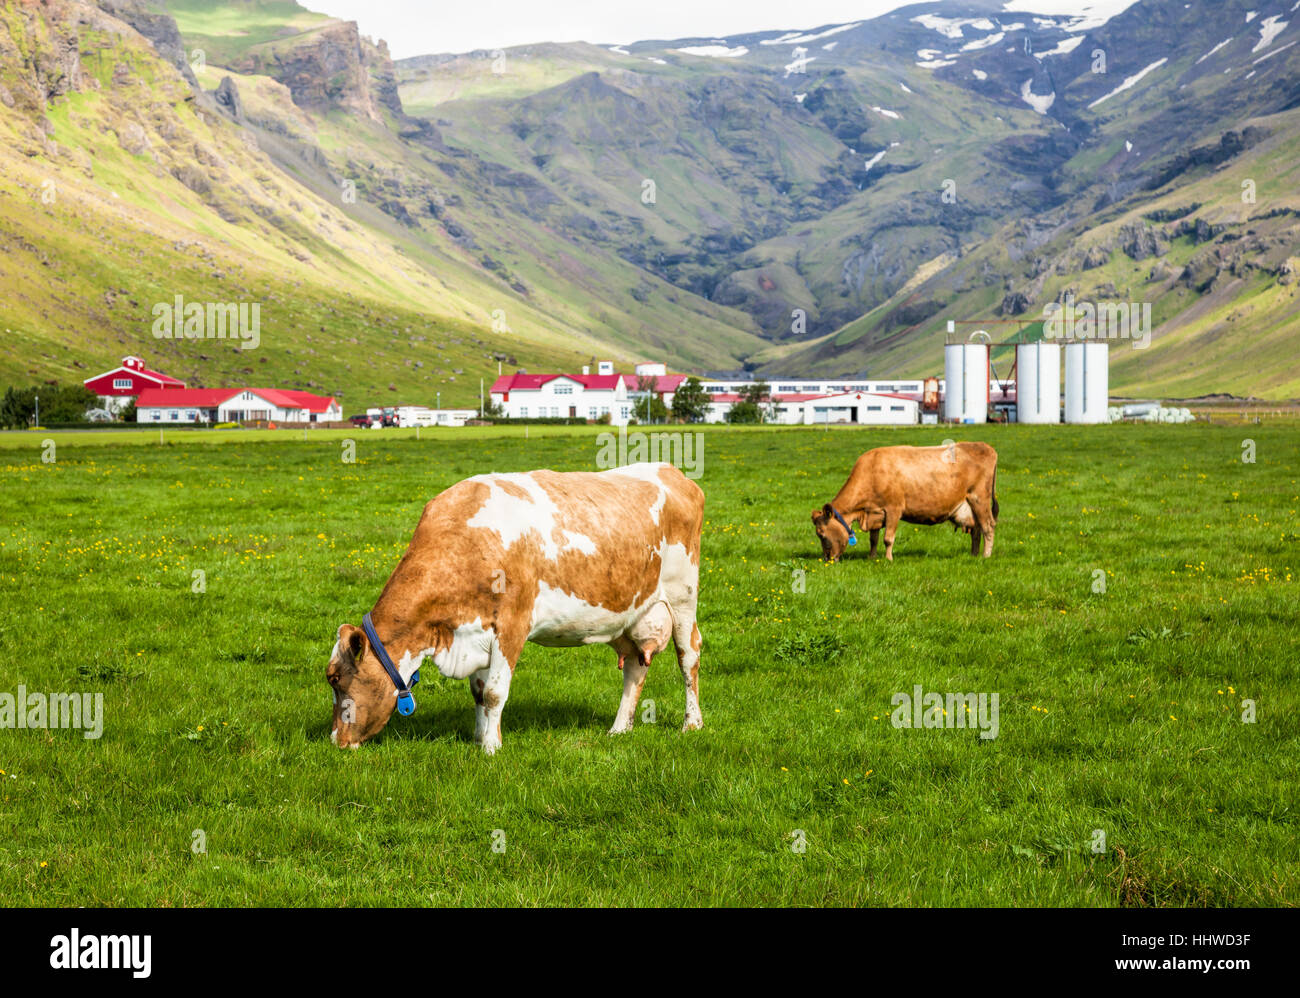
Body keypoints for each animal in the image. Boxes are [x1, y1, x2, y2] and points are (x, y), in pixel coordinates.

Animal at [327, 462, 704, 752]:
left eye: (335, 678)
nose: (335, 741)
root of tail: (672, 472)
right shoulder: (474, 629)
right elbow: (479, 692)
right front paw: (479, 738)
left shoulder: (512, 625)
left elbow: (495, 692)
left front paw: (492, 748)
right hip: (632, 613)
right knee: (636, 666)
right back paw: (619, 728)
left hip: (683, 597)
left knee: (689, 656)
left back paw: (692, 724)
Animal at [811, 442, 999, 562]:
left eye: (822, 534)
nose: (827, 559)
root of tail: (984, 446)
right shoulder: (875, 512)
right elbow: (874, 538)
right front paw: (872, 557)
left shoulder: (894, 509)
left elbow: (888, 538)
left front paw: (888, 559)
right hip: (971, 504)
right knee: (976, 529)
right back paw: (973, 555)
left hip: (980, 498)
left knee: (988, 527)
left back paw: (986, 556)